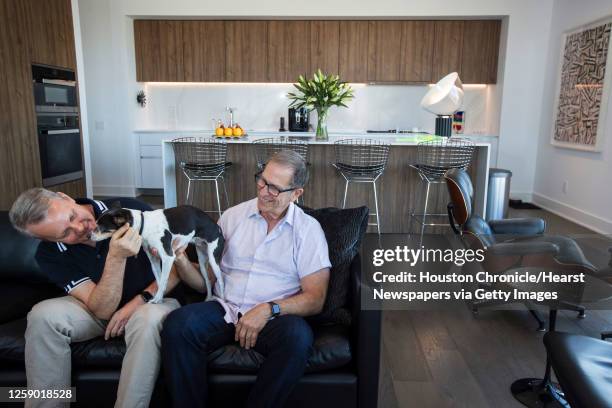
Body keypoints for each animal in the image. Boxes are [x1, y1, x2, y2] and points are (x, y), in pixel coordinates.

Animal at [91, 204, 225, 302]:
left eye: (101, 228)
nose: (89, 235)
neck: (144, 224)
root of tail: (218, 228)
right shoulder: (154, 260)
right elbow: (160, 281)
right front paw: (159, 298)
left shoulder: (168, 257)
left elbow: (164, 279)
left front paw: (157, 299)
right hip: (202, 262)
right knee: (208, 281)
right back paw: (208, 298)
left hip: (213, 260)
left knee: (221, 281)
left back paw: (223, 300)